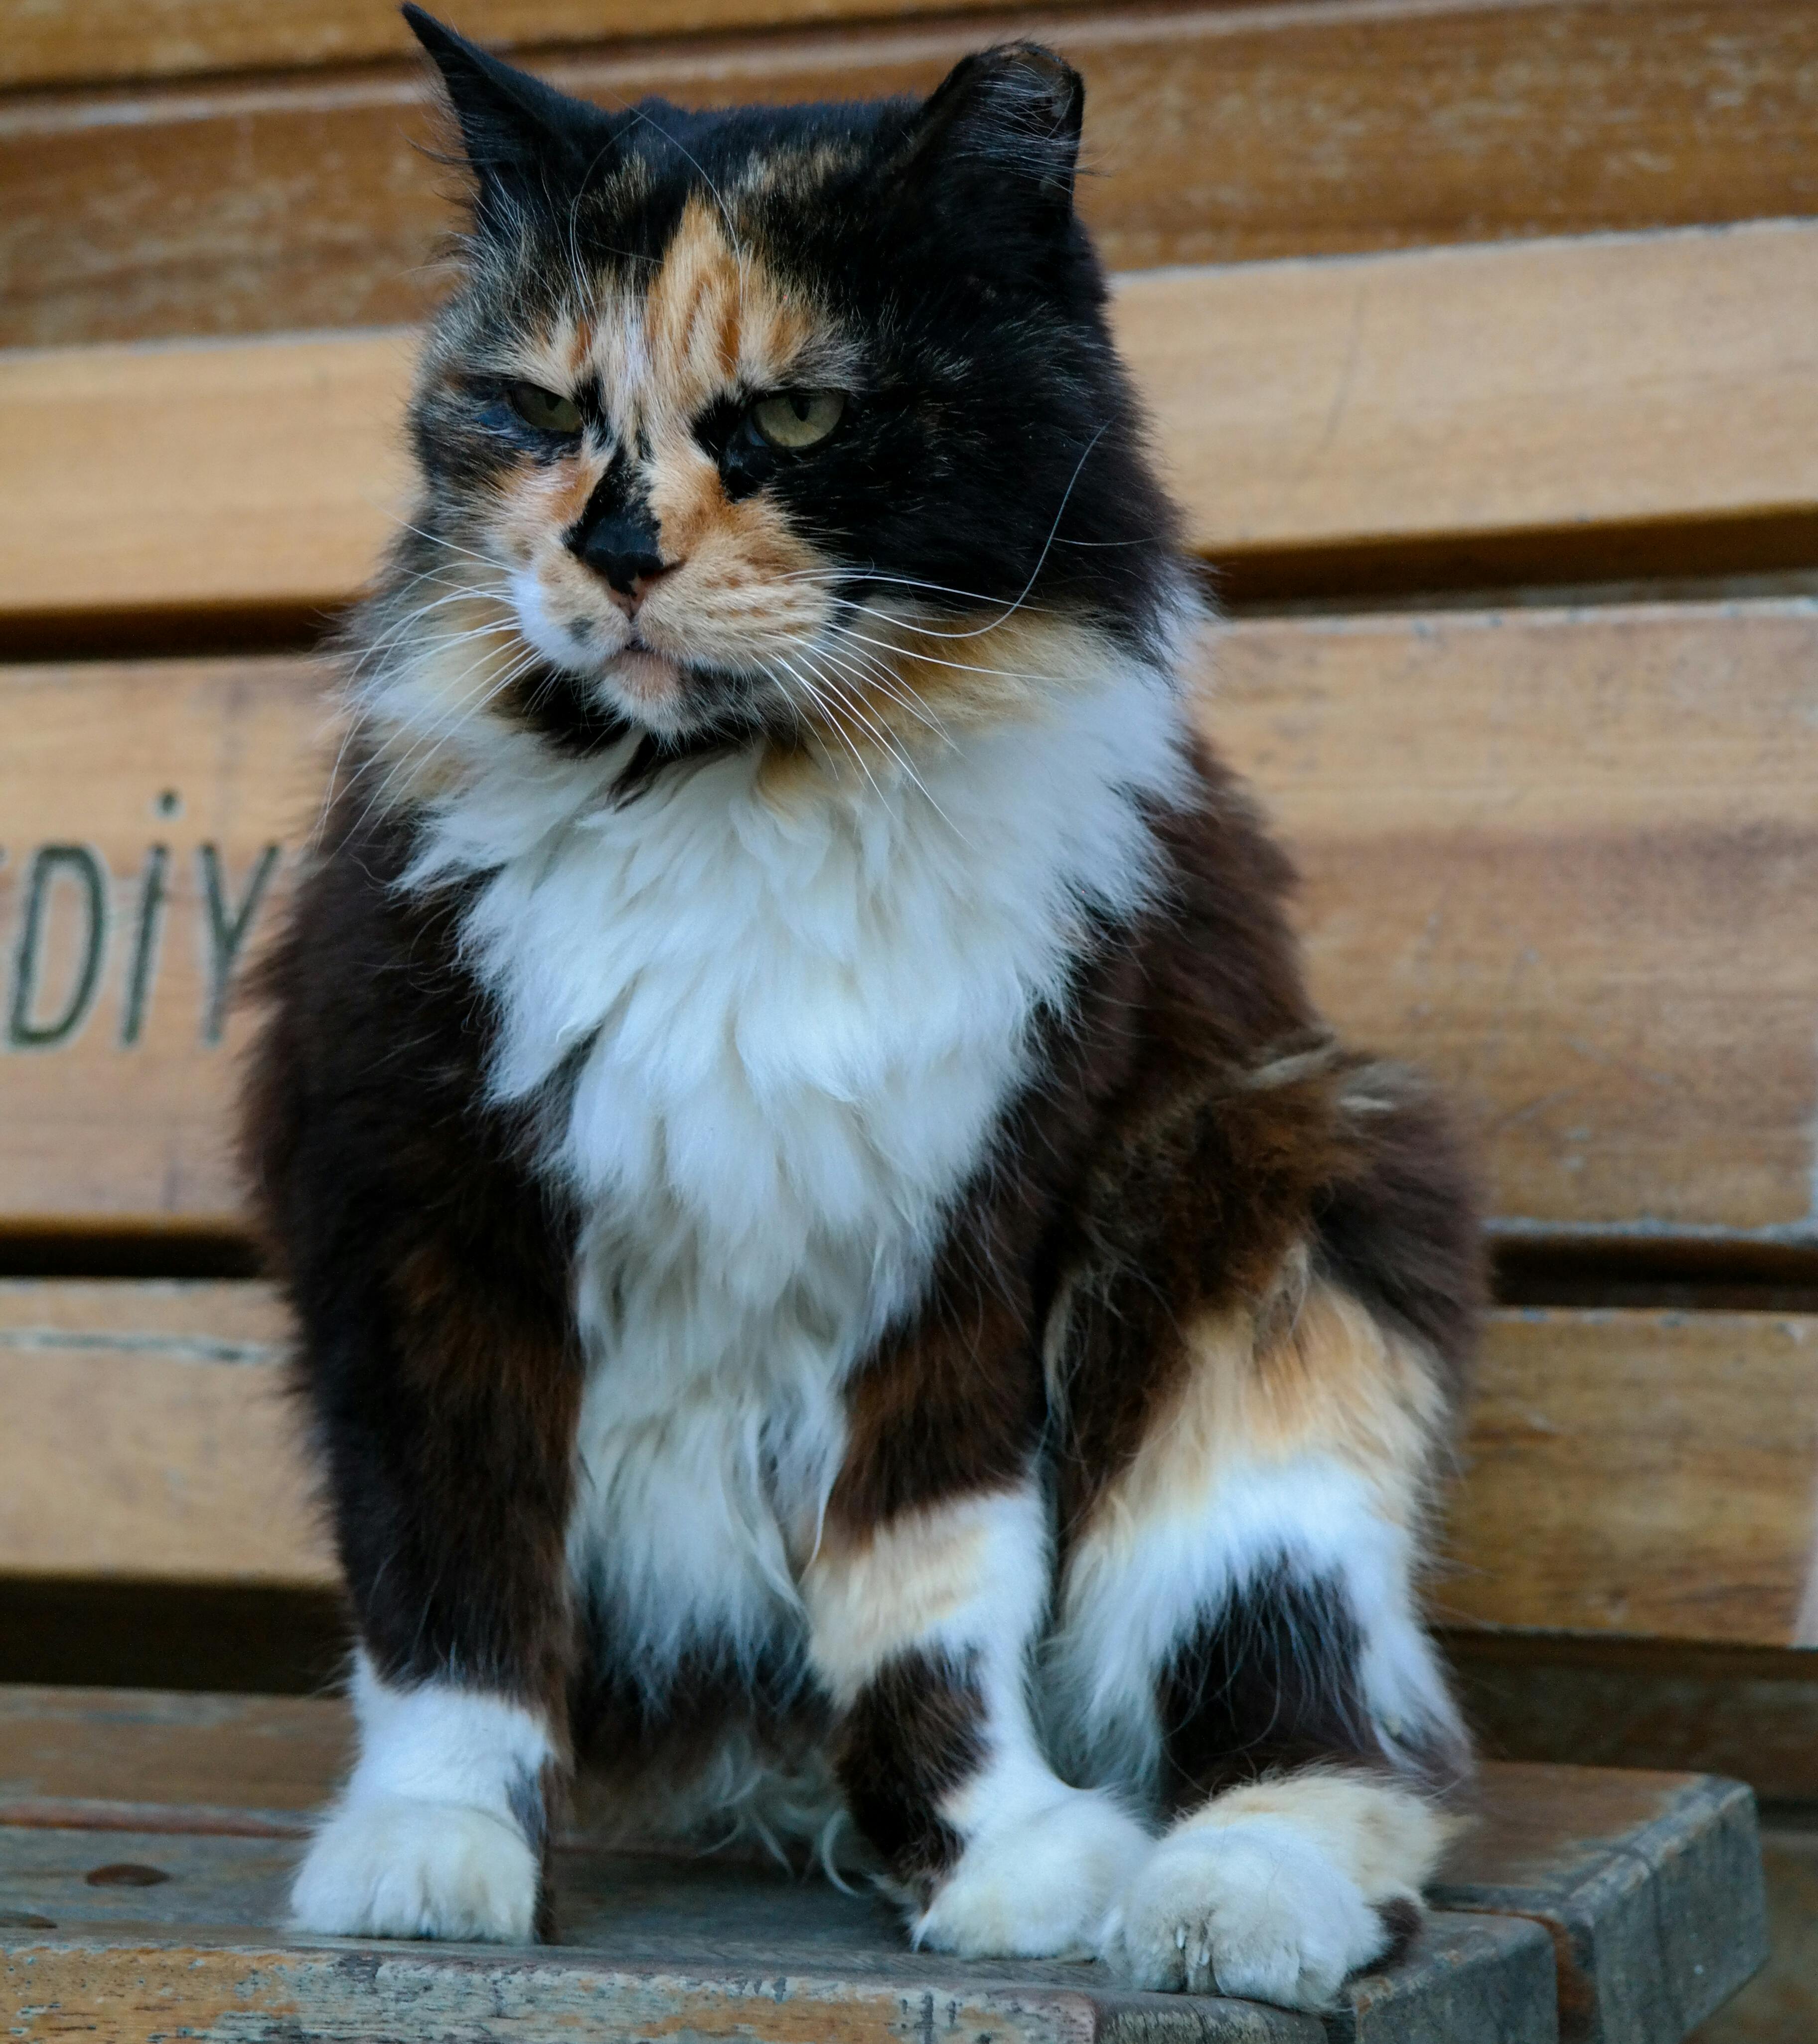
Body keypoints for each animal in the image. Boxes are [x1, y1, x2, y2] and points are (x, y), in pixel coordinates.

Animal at [244, 4, 1471, 2011]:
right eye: (542, 413)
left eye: (800, 417)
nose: (615, 551)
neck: (738, 801)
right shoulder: (420, 1213)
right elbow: (455, 1597)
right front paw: (427, 1856)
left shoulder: (961, 1248)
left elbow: (927, 1598)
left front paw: (1001, 1857)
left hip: (1275, 1195)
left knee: (1344, 1740)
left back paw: (1220, 1904)